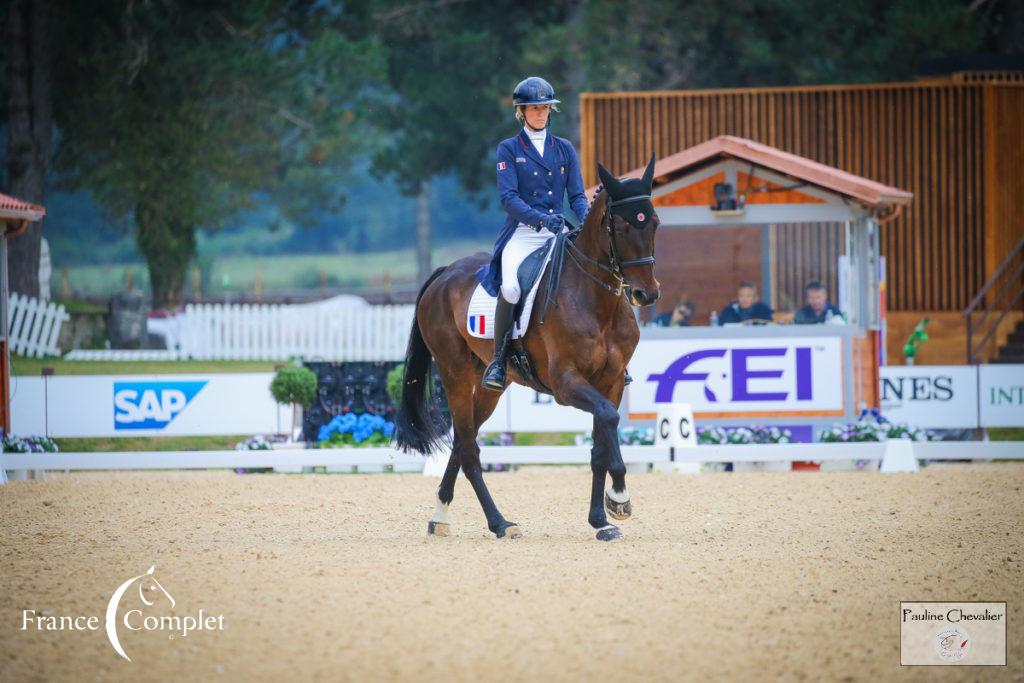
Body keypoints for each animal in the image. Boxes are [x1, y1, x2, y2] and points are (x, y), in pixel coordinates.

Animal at [391, 156, 663, 544]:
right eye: (622, 226)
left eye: (654, 222)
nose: (646, 294)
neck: (597, 301)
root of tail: (445, 274)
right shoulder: (566, 384)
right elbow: (609, 421)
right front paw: (620, 500)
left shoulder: (609, 382)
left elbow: (600, 443)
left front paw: (601, 519)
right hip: (453, 371)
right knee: (469, 449)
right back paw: (500, 523)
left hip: (490, 383)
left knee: (462, 440)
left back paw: (439, 515)